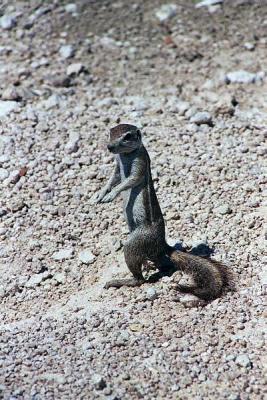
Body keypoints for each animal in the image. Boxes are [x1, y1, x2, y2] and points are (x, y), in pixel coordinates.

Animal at [97, 123, 232, 298]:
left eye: (127, 136)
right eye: (110, 132)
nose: (109, 147)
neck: (126, 156)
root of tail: (162, 243)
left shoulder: (140, 164)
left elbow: (128, 181)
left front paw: (111, 194)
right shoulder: (117, 167)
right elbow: (112, 179)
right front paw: (100, 193)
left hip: (135, 243)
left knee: (140, 279)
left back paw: (121, 281)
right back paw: (148, 264)